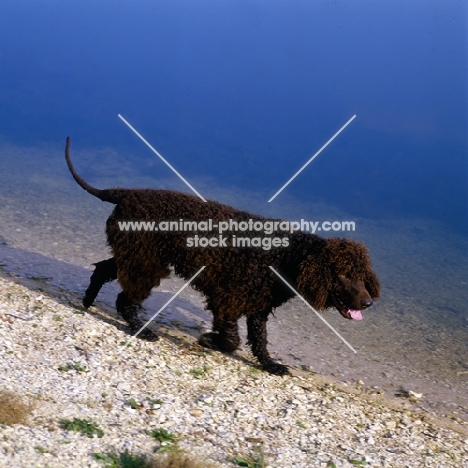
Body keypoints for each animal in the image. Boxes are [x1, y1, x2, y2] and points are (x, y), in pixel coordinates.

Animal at [66, 137, 380, 374]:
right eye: (343, 274)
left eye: (363, 275)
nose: (368, 303)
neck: (290, 256)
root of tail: (125, 193)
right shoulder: (228, 298)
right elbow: (232, 339)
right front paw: (211, 340)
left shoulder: (257, 306)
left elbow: (259, 339)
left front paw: (269, 364)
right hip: (145, 262)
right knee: (125, 298)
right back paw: (140, 329)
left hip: (135, 255)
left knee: (104, 271)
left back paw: (88, 301)